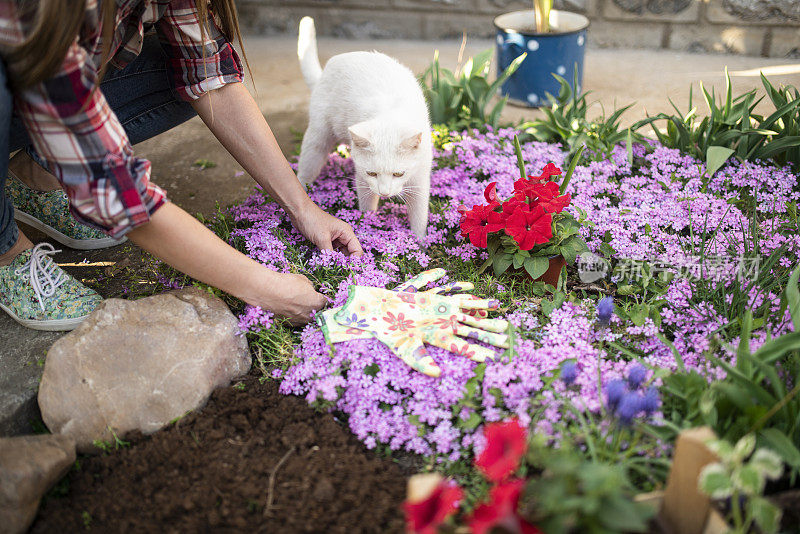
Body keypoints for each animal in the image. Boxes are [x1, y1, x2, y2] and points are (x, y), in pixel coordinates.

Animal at [296, 16, 432, 239]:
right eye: (372, 173)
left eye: (398, 174)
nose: (384, 193)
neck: (391, 113)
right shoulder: (361, 177)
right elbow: (367, 205)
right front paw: (367, 228)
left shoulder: (420, 178)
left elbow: (419, 217)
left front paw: (420, 242)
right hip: (318, 138)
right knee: (305, 170)